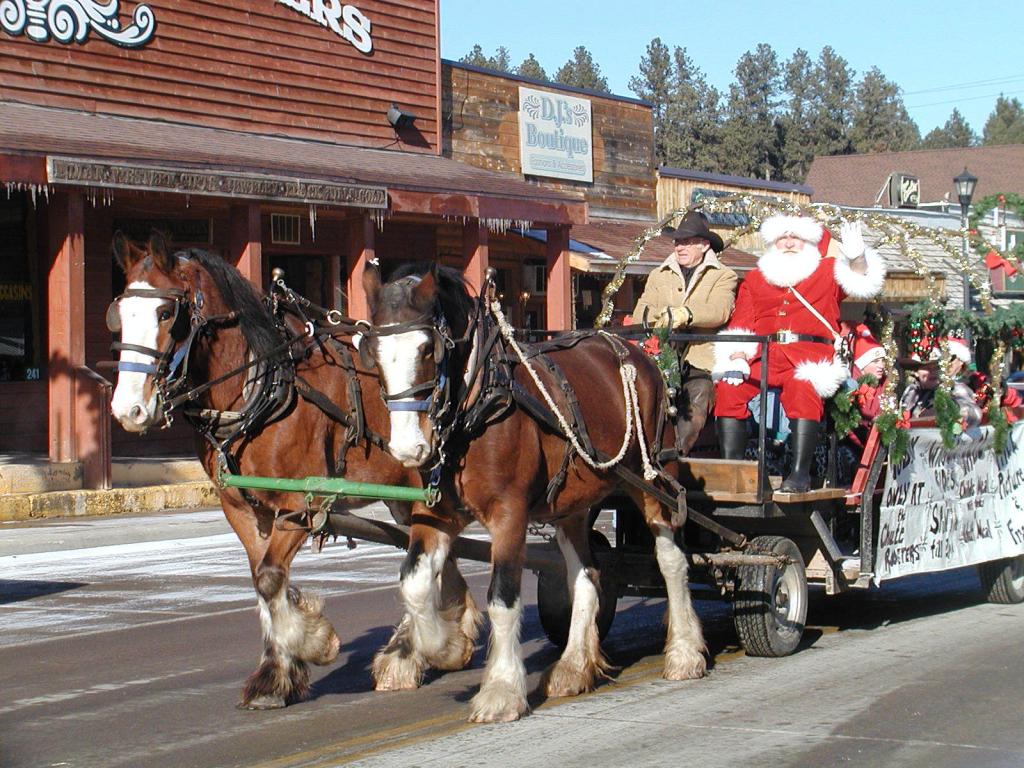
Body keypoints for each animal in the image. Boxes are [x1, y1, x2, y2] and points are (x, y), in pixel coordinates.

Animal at [107, 233, 481, 709]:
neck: (261, 390)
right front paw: (276, 673)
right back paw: (437, 643)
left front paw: (312, 642)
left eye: (165, 313)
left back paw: (411, 649)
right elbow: (264, 581)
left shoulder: (300, 503)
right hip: (406, 495)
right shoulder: (241, 507)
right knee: (440, 557)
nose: (128, 409)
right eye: (119, 314)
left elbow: (270, 579)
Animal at [359, 262, 707, 723]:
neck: (477, 403)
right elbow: (414, 585)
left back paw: (684, 651)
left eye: (428, 350)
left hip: (652, 478)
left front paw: (501, 689)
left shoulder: (509, 514)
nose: (408, 449)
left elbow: (502, 599)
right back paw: (574, 666)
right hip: (573, 505)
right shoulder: (435, 515)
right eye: (372, 352)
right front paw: (444, 645)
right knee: (587, 576)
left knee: (671, 561)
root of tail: (640, 354)